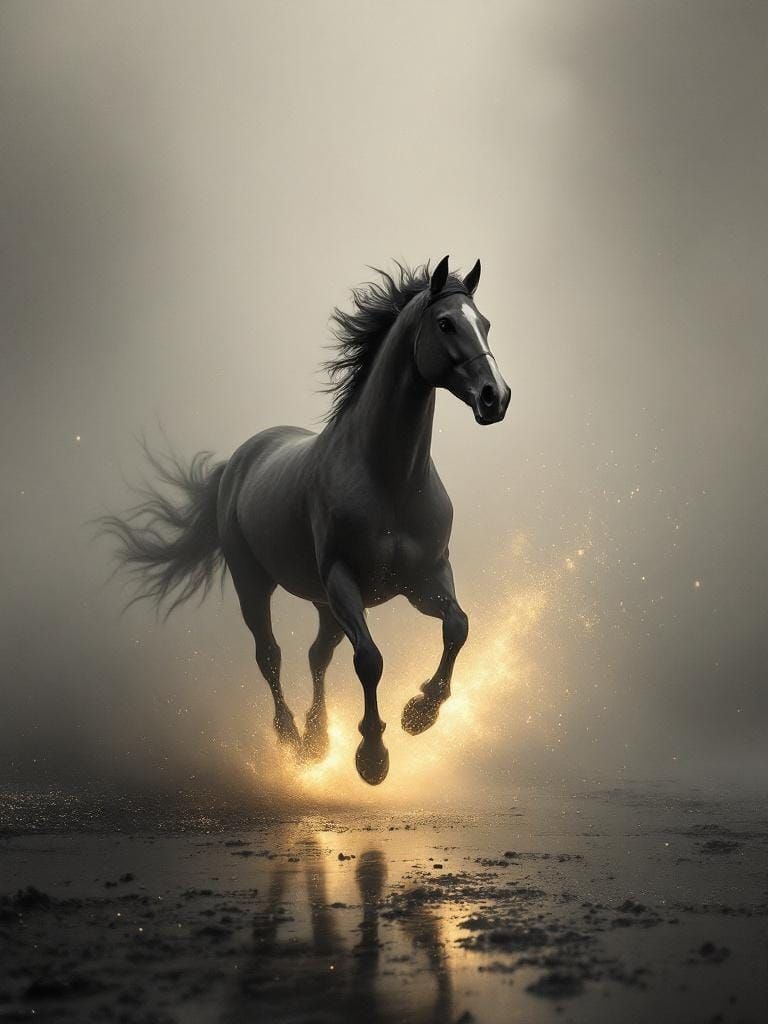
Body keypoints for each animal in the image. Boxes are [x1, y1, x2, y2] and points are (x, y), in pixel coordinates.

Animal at [102, 256, 510, 785]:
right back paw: (293, 740)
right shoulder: (343, 581)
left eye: (485, 324)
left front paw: (418, 713)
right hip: (256, 584)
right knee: (270, 656)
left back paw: (318, 739)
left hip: (323, 602)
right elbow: (369, 660)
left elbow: (458, 626)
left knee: (318, 654)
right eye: (445, 323)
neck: (390, 481)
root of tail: (239, 460)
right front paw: (372, 756)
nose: (495, 397)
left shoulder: (425, 579)